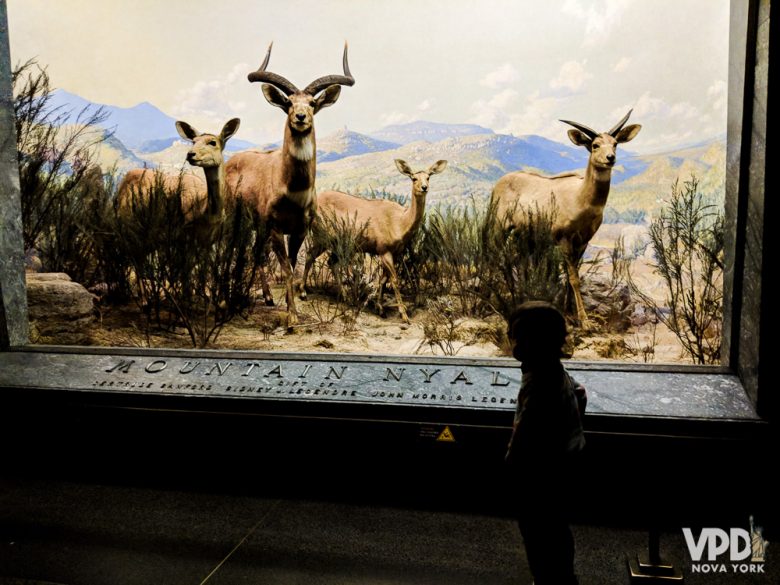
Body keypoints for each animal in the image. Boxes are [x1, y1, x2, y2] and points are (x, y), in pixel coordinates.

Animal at [227, 42, 354, 328]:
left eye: (313, 102)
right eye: (288, 102)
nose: (300, 116)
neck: (293, 192)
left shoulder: (300, 229)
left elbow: (292, 264)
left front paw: (288, 304)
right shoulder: (275, 226)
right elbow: (285, 267)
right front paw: (292, 316)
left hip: (258, 226)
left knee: (256, 252)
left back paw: (266, 297)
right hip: (238, 218)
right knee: (238, 249)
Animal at [306, 159, 450, 324]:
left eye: (428, 177)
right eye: (414, 178)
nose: (424, 187)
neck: (400, 224)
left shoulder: (395, 251)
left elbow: (383, 279)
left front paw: (380, 308)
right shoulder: (383, 248)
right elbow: (394, 280)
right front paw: (404, 315)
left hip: (337, 242)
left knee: (331, 262)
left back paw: (345, 297)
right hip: (322, 234)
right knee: (310, 255)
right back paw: (304, 291)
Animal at [490, 109, 644, 324]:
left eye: (615, 143)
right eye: (595, 145)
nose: (610, 157)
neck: (581, 201)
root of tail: (496, 186)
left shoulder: (584, 239)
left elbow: (573, 274)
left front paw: (569, 311)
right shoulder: (563, 236)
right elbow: (573, 277)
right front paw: (584, 320)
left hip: (525, 234)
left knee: (520, 262)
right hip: (500, 224)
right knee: (494, 253)